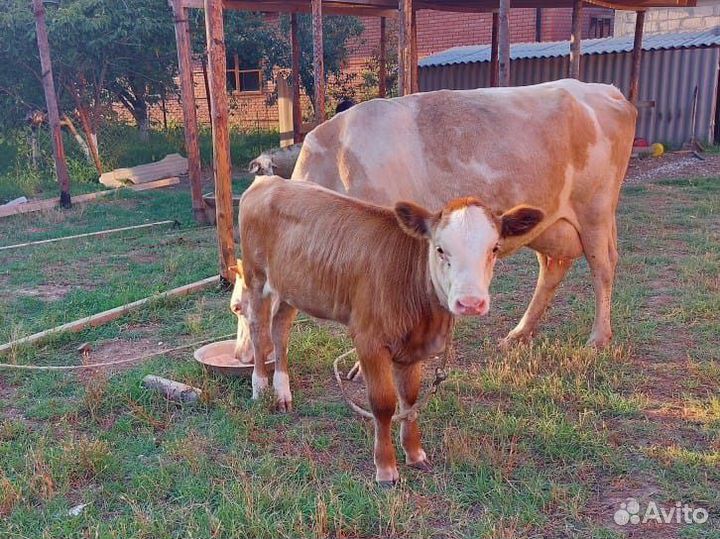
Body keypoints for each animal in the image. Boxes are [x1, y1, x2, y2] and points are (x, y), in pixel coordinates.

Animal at [238, 175, 544, 483]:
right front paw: (385, 468)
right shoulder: (369, 340)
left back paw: (283, 393)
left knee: (280, 331)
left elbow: (409, 400)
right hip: (256, 276)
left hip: (291, 288)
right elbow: (384, 404)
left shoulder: (412, 347)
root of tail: (269, 179)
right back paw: (260, 386)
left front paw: (414, 453)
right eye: (440, 249)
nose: (470, 303)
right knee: (258, 329)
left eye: (494, 248)